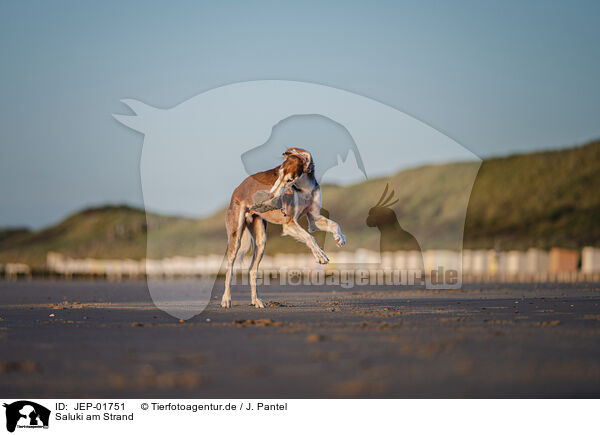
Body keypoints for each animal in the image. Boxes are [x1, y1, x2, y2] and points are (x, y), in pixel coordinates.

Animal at [220, 148, 344, 308]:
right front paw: (320, 256)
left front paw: (339, 238)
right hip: (236, 237)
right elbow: (309, 237)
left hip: (261, 240)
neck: (303, 188)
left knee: (252, 269)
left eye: (290, 179)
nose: (269, 196)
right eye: (278, 173)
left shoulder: (313, 219)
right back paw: (226, 299)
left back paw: (256, 300)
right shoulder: (289, 223)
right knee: (229, 268)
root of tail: (238, 188)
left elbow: (334, 224)